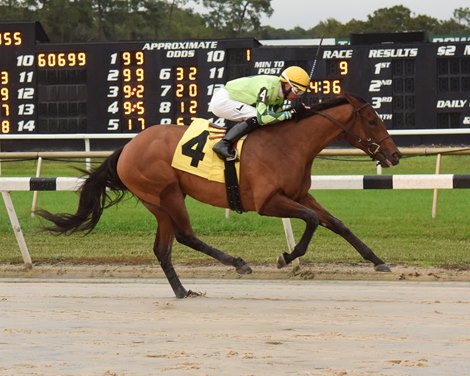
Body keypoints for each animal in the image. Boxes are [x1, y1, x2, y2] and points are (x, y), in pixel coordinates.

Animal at [36, 93, 400, 296]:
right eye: (371, 120)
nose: (394, 155)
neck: (289, 144)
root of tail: (127, 147)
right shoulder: (267, 202)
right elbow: (311, 220)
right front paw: (286, 257)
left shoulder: (300, 194)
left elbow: (336, 223)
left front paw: (378, 261)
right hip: (164, 195)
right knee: (183, 236)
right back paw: (236, 263)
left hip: (163, 200)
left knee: (163, 248)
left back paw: (183, 291)